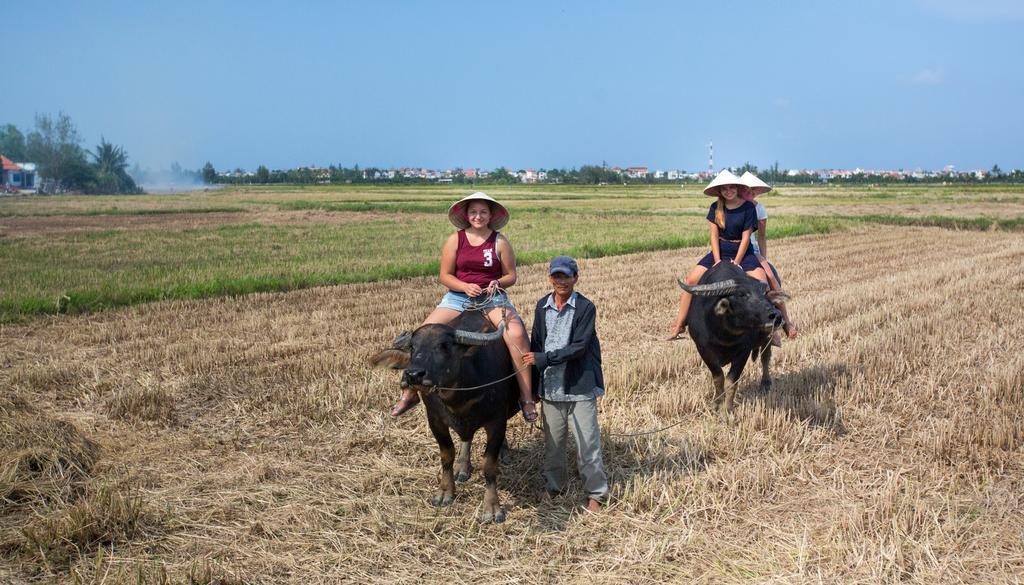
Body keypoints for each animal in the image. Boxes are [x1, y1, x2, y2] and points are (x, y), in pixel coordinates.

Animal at [370, 313, 520, 524]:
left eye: (444, 345)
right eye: (413, 347)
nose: (413, 374)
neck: (458, 397)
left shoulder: (496, 421)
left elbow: (489, 465)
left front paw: (491, 507)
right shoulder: (435, 420)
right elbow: (447, 455)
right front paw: (445, 492)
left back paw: (503, 453)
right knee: (466, 439)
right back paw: (462, 467)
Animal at [679, 261, 782, 415]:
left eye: (764, 293)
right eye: (742, 294)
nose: (776, 316)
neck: (723, 334)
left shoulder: (743, 352)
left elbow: (731, 381)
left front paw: (728, 409)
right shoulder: (703, 349)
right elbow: (718, 377)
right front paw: (717, 404)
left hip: (767, 337)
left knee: (765, 357)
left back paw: (765, 383)